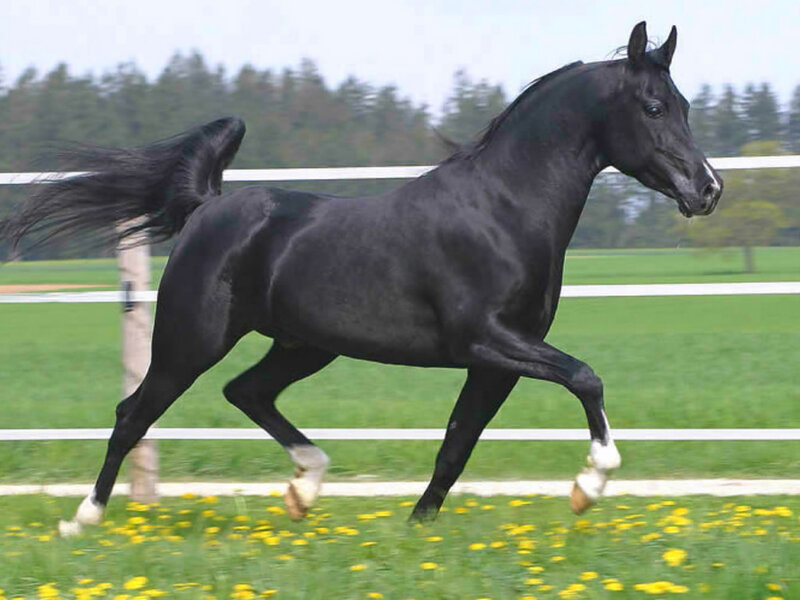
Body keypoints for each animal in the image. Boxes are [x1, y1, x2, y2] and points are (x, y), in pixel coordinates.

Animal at [1, 22, 722, 535]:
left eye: (685, 103)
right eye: (653, 107)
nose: (708, 189)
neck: (503, 209)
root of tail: (208, 206)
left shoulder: (495, 363)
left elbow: (456, 446)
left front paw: (415, 528)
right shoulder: (486, 340)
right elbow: (584, 377)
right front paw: (589, 485)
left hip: (304, 345)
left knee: (247, 391)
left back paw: (305, 487)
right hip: (190, 342)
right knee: (134, 414)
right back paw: (82, 521)